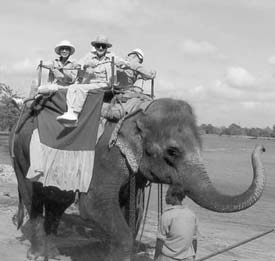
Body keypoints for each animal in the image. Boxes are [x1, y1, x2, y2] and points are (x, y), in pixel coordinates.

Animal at [9, 97, 266, 260]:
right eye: (173, 151)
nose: (262, 147)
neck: (139, 114)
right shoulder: (106, 156)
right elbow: (94, 206)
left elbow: (129, 210)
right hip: (22, 158)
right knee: (33, 198)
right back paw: (36, 255)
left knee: (57, 203)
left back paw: (52, 255)